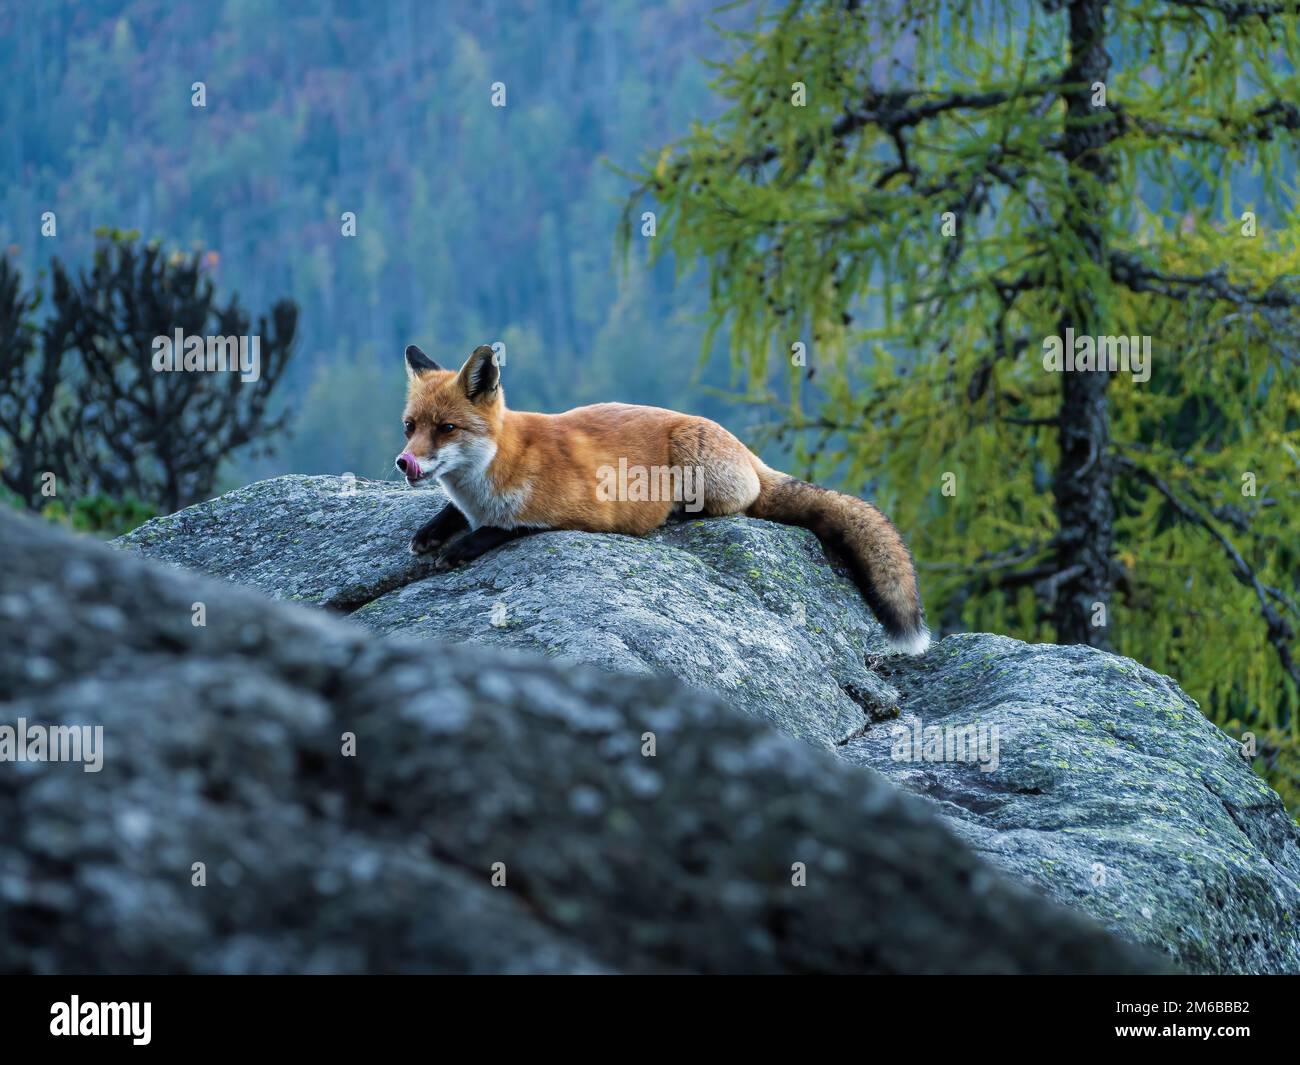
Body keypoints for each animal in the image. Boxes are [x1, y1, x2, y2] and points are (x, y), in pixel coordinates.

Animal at [395, 345, 935, 652]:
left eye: (447, 428)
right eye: (410, 427)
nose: (405, 463)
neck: (490, 474)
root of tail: (746, 450)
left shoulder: (575, 511)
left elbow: (501, 528)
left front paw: (462, 547)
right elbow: (452, 514)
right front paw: (433, 532)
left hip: (696, 466)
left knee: (740, 507)